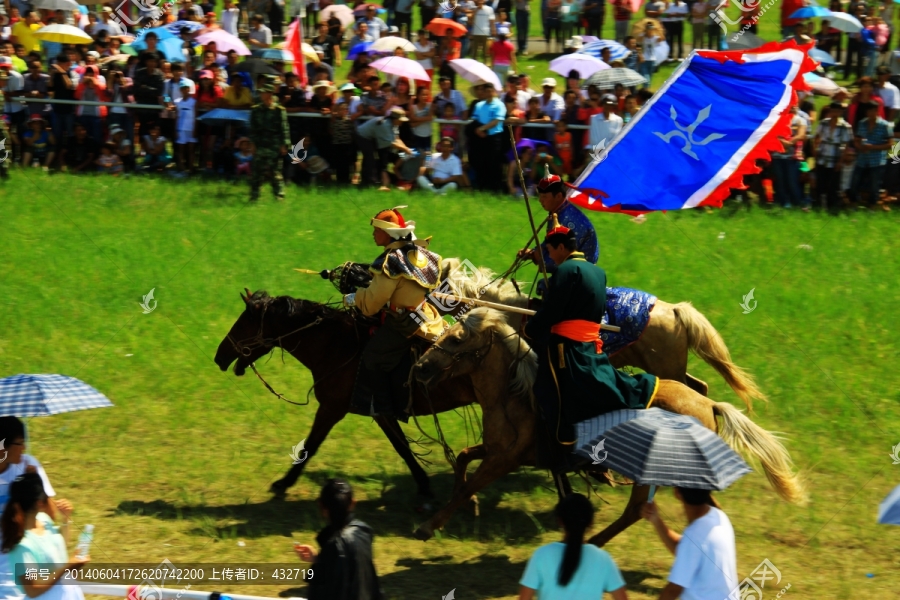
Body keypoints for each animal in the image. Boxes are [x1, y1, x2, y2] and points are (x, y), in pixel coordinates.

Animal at [412, 308, 804, 548]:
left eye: (457, 339)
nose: (420, 367)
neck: (515, 395)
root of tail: (709, 406)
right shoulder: (501, 450)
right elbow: (464, 458)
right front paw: (466, 504)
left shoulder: (503, 460)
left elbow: (468, 482)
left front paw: (429, 525)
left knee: (637, 511)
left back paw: (593, 543)